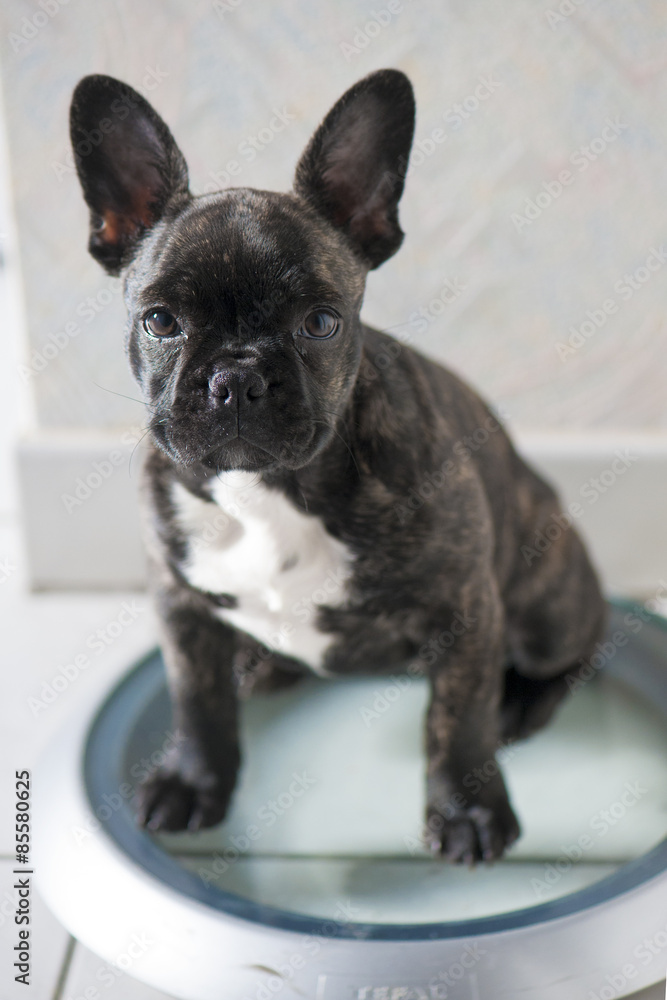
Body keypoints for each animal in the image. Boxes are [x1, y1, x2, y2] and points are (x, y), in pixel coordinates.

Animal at [70, 72, 608, 868]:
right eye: (160, 321)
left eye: (320, 323)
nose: (236, 377)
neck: (271, 492)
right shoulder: (179, 602)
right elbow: (196, 702)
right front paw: (193, 781)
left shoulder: (465, 612)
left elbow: (458, 723)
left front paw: (468, 810)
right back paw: (259, 664)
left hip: (547, 599)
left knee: (573, 648)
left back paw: (520, 701)